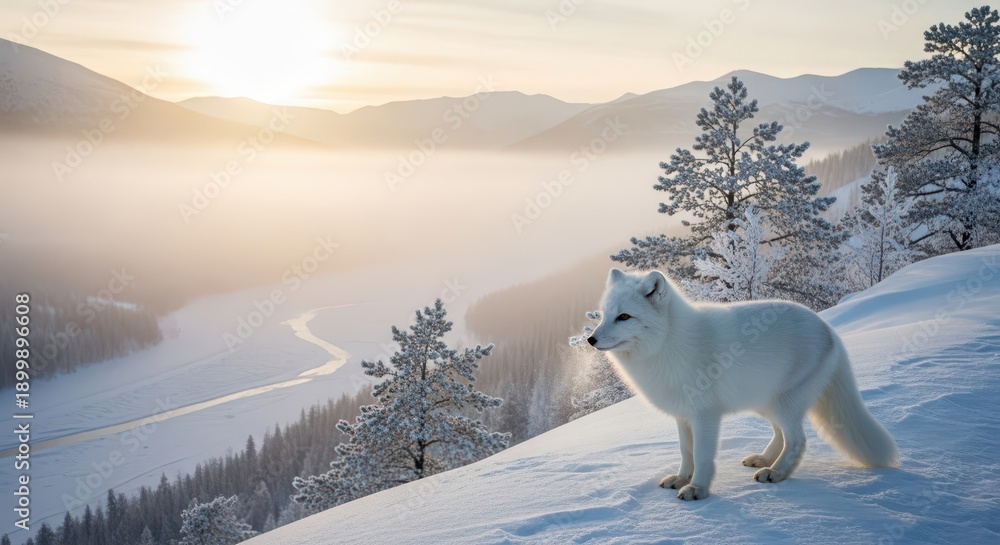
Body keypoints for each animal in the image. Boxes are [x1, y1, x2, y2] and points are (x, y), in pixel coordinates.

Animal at [587, 269, 899, 500]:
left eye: (624, 316)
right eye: (602, 314)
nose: (590, 339)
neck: (667, 343)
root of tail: (829, 329)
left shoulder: (705, 416)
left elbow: (702, 455)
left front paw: (698, 488)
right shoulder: (682, 415)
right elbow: (686, 452)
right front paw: (681, 478)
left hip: (784, 404)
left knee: (797, 439)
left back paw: (776, 473)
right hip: (765, 403)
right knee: (780, 434)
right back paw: (764, 460)